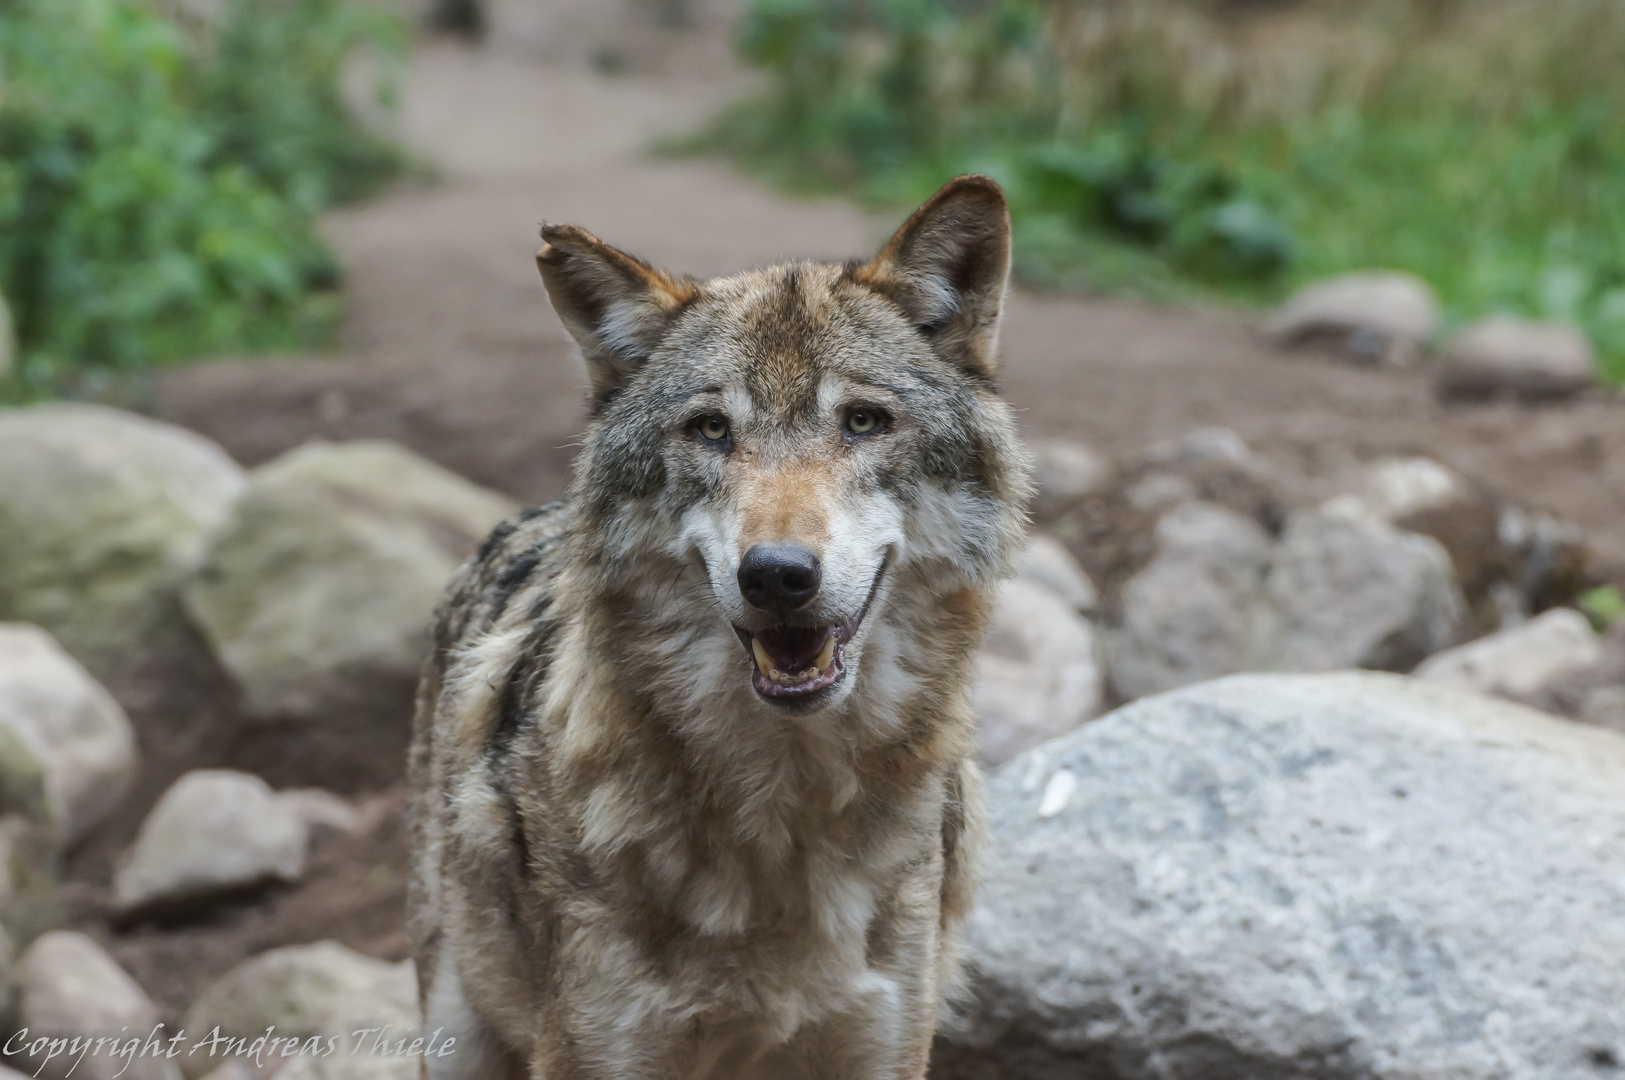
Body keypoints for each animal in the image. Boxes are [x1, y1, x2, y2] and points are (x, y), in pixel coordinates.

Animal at [403, 172, 1027, 1071]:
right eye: (710, 429)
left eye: (863, 421)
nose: (776, 575)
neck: (783, 821)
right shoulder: (595, 1051)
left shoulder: (886, 1050)